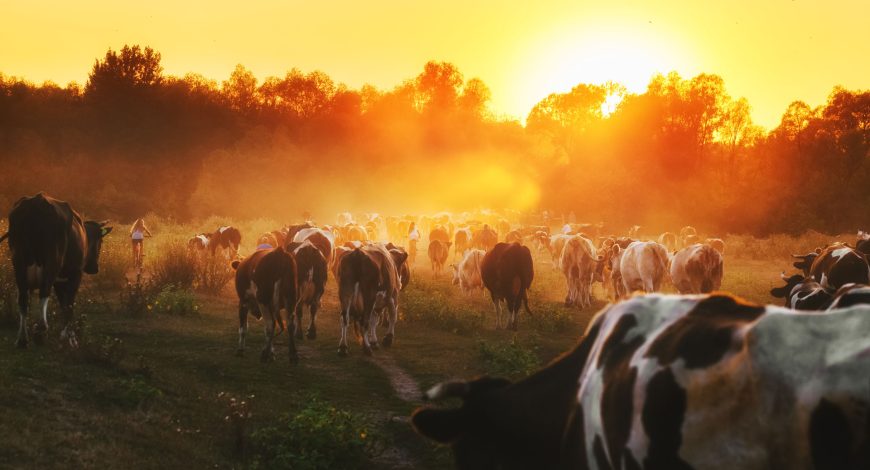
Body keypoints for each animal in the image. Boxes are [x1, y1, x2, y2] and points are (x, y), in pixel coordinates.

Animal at [3, 193, 112, 348]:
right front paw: (71, 339)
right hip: (52, 260)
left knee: (23, 298)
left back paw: (22, 339)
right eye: (100, 241)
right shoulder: (75, 274)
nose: (94, 268)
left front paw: (65, 335)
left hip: (18, 262)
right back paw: (41, 331)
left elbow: (63, 304)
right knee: (44, 292)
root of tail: (37, 200)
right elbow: (69, 305)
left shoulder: (59, 280)